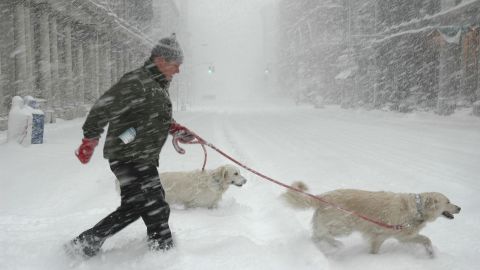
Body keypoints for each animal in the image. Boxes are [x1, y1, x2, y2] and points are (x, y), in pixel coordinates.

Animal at [282, 180, 462, 256]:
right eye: (448, 201)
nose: (460, 208)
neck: (416, 209)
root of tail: (323, 196)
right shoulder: (380, 236)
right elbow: (375, 250)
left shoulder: (404, 236)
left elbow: (426, 239)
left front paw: (431, 253)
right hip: (344, 225)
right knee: (322, 235)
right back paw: (336, 245)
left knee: (316, 235)